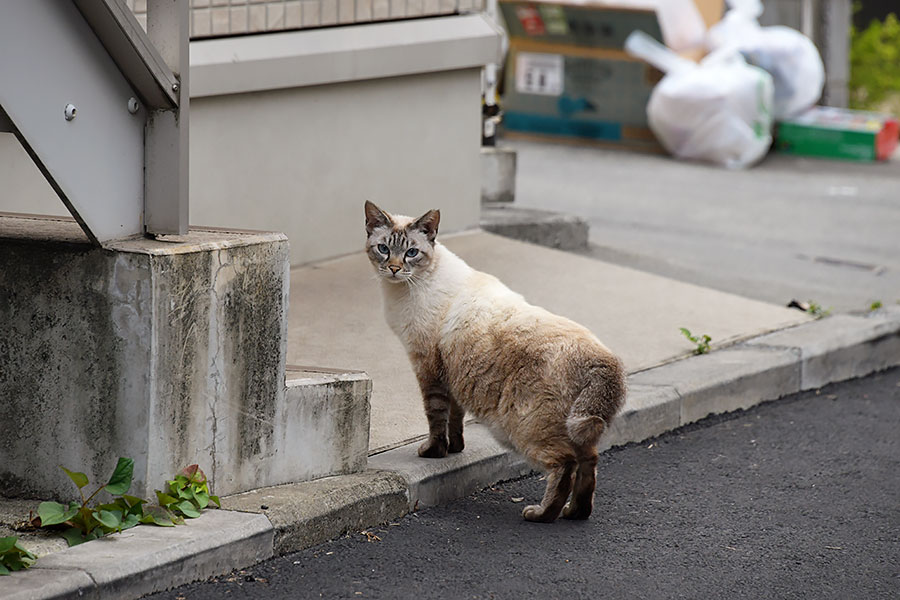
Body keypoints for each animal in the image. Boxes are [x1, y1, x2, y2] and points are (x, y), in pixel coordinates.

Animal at [360, 202, 624, 520]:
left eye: (411, 252)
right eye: (384, 249)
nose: (395, 268)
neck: (410, 286)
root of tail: (603, 358)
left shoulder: (428, 368)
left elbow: (435, 416)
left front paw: (435, 452)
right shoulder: (454, 373)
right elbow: (455, 417)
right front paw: (455, 449)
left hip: (527, 428)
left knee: (564, 465)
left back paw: (541, 514)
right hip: (575, 429)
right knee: (589, 462)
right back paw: (575, 513)